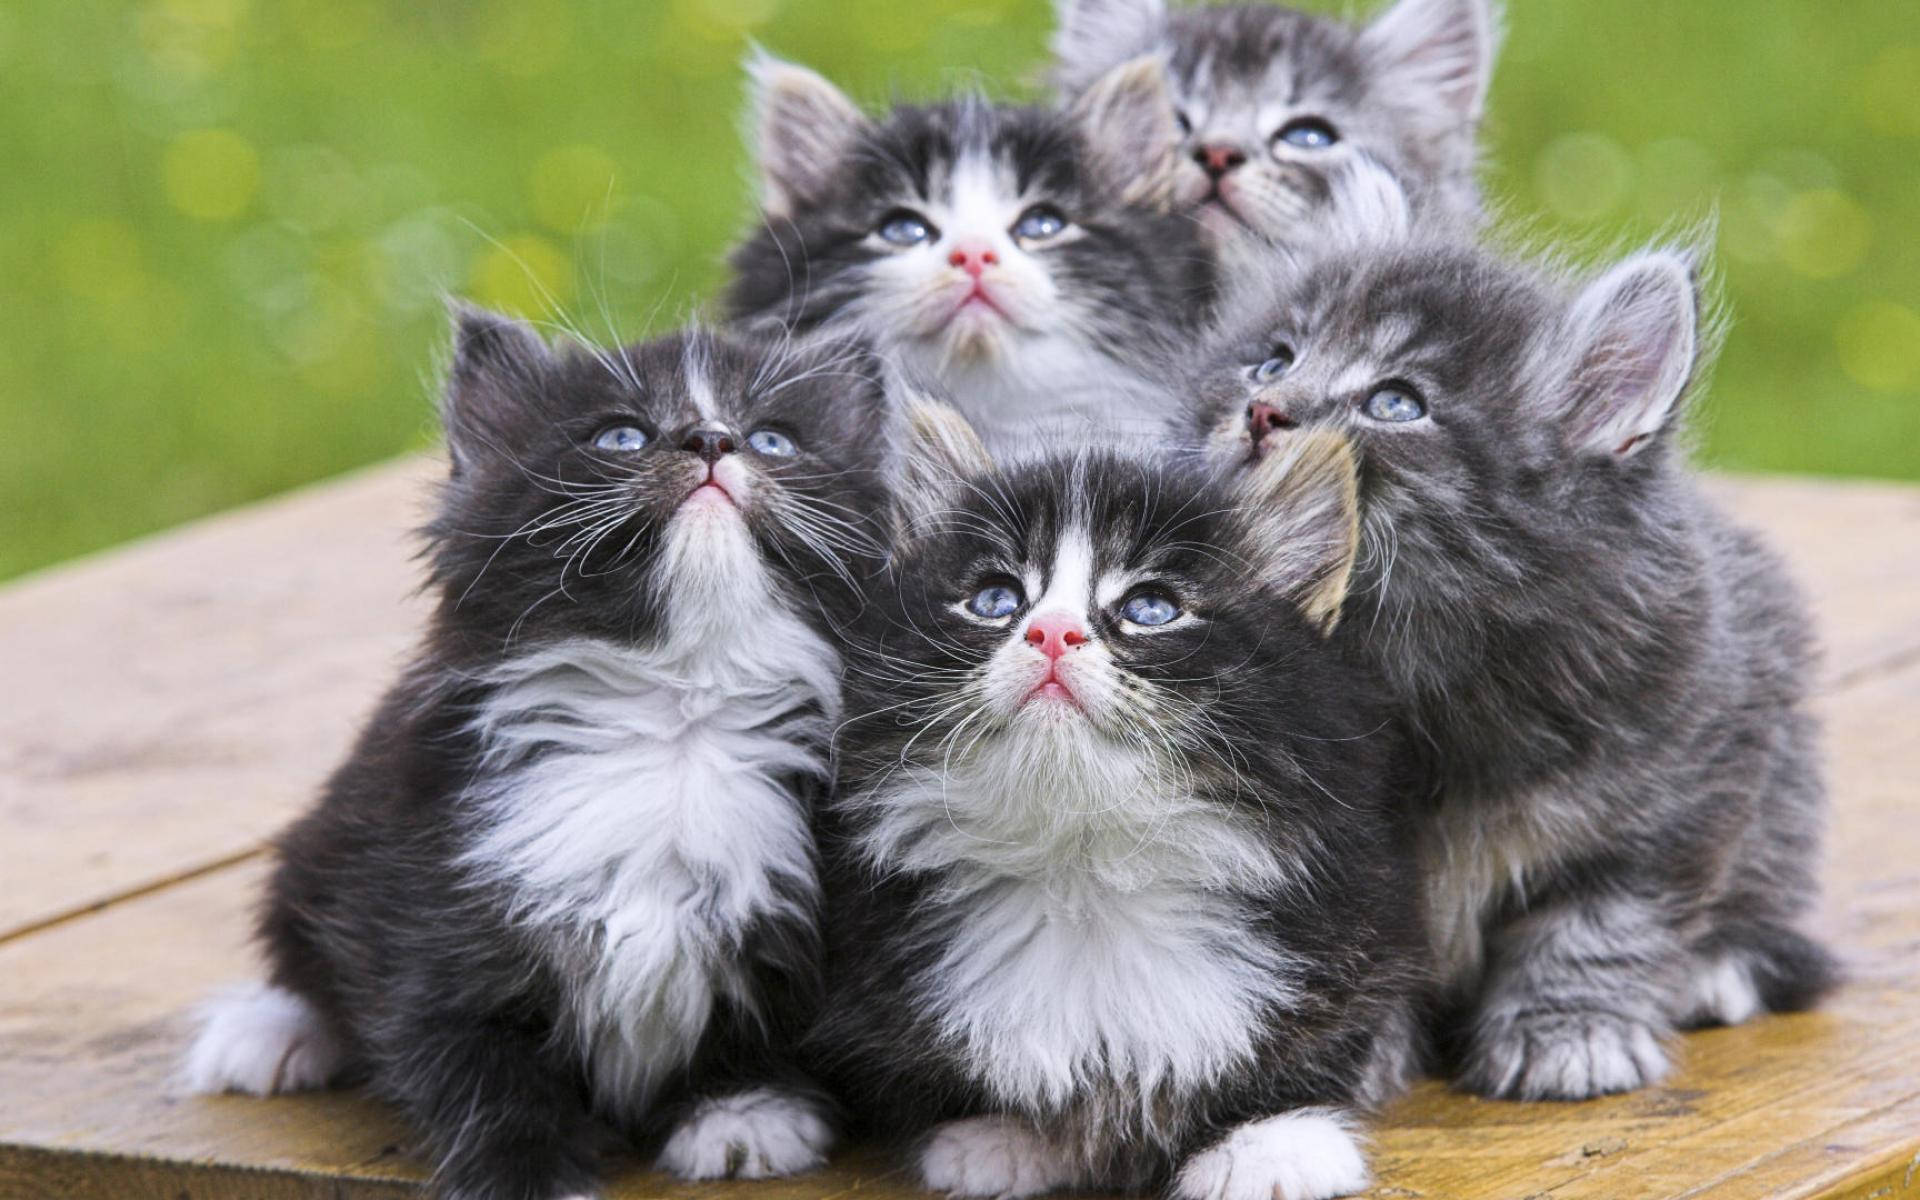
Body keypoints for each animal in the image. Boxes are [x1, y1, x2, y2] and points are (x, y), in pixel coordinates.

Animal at [183, 311, 894, 1198]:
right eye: (621, 435)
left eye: (774, 438)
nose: (711, 440)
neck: (675, 724)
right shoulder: (427, 898)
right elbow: (473, 1062)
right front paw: (521, 1173)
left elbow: (765, 1024)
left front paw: (741, 1112)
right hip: (327, 835)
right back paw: (272, 1034)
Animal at [806, 405, 1428, 1198]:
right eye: (996, 601)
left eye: (1151, 608)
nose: (1050, 632)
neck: (1086, 867)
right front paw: (1001, 1135)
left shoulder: (1363, 927)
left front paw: (1272, 1142)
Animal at [1175, 226, 1835, 1105]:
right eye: (1273, 359)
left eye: (1396, 403)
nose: (1263, 409)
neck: (1420, 678)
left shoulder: (1685, 784)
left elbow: (1600, 926)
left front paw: (1571, 1034)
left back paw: (1715, 971)